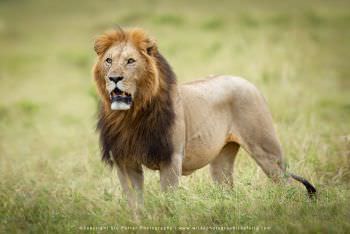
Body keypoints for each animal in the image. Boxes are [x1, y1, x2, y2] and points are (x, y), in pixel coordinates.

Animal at [91, 27, 316, 210]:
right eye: (109, 61)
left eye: (130, 61)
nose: (114, 78)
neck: (131, 115)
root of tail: (247, 82)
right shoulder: (125, 161)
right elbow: (135, 205)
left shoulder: (171, 160)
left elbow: (167, 203)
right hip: (221, 162)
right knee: (228, 191)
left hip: (266, 151)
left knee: (287, 185)